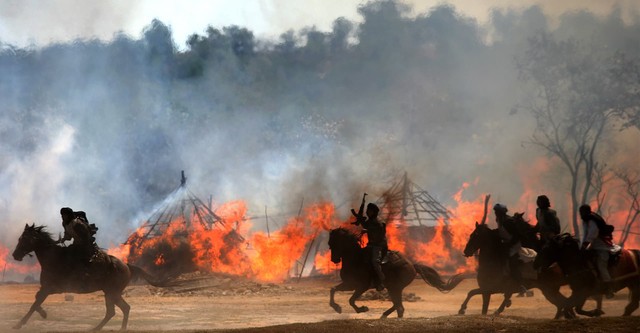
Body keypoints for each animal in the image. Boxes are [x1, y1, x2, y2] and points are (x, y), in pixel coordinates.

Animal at [11, 223, 165, 330]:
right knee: (116, 311)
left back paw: (112, 328)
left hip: (112, 293)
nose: (15, 255)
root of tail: (127, 266)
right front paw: (43, 314)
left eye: (24, 239)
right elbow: (36, 300)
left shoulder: (49, 288)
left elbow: (34, 304)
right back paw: (102, 328)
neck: (53, 258)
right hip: (110, 293)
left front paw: (19, 324)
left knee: (120, 309)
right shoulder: (49, 289)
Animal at [328, 227, 462, 318]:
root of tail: (412, 266)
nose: (334, 260)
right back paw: (385, 315)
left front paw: (362, 309)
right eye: (330, 243)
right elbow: (333, 289)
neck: (355, 259)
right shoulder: (349, 284)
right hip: (393, 288)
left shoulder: (361, 286)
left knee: (399, 306)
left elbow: (351, 300)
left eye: (335, 242)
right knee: (398, 306)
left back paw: (385, 315)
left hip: (395, 288)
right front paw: (337, 307)